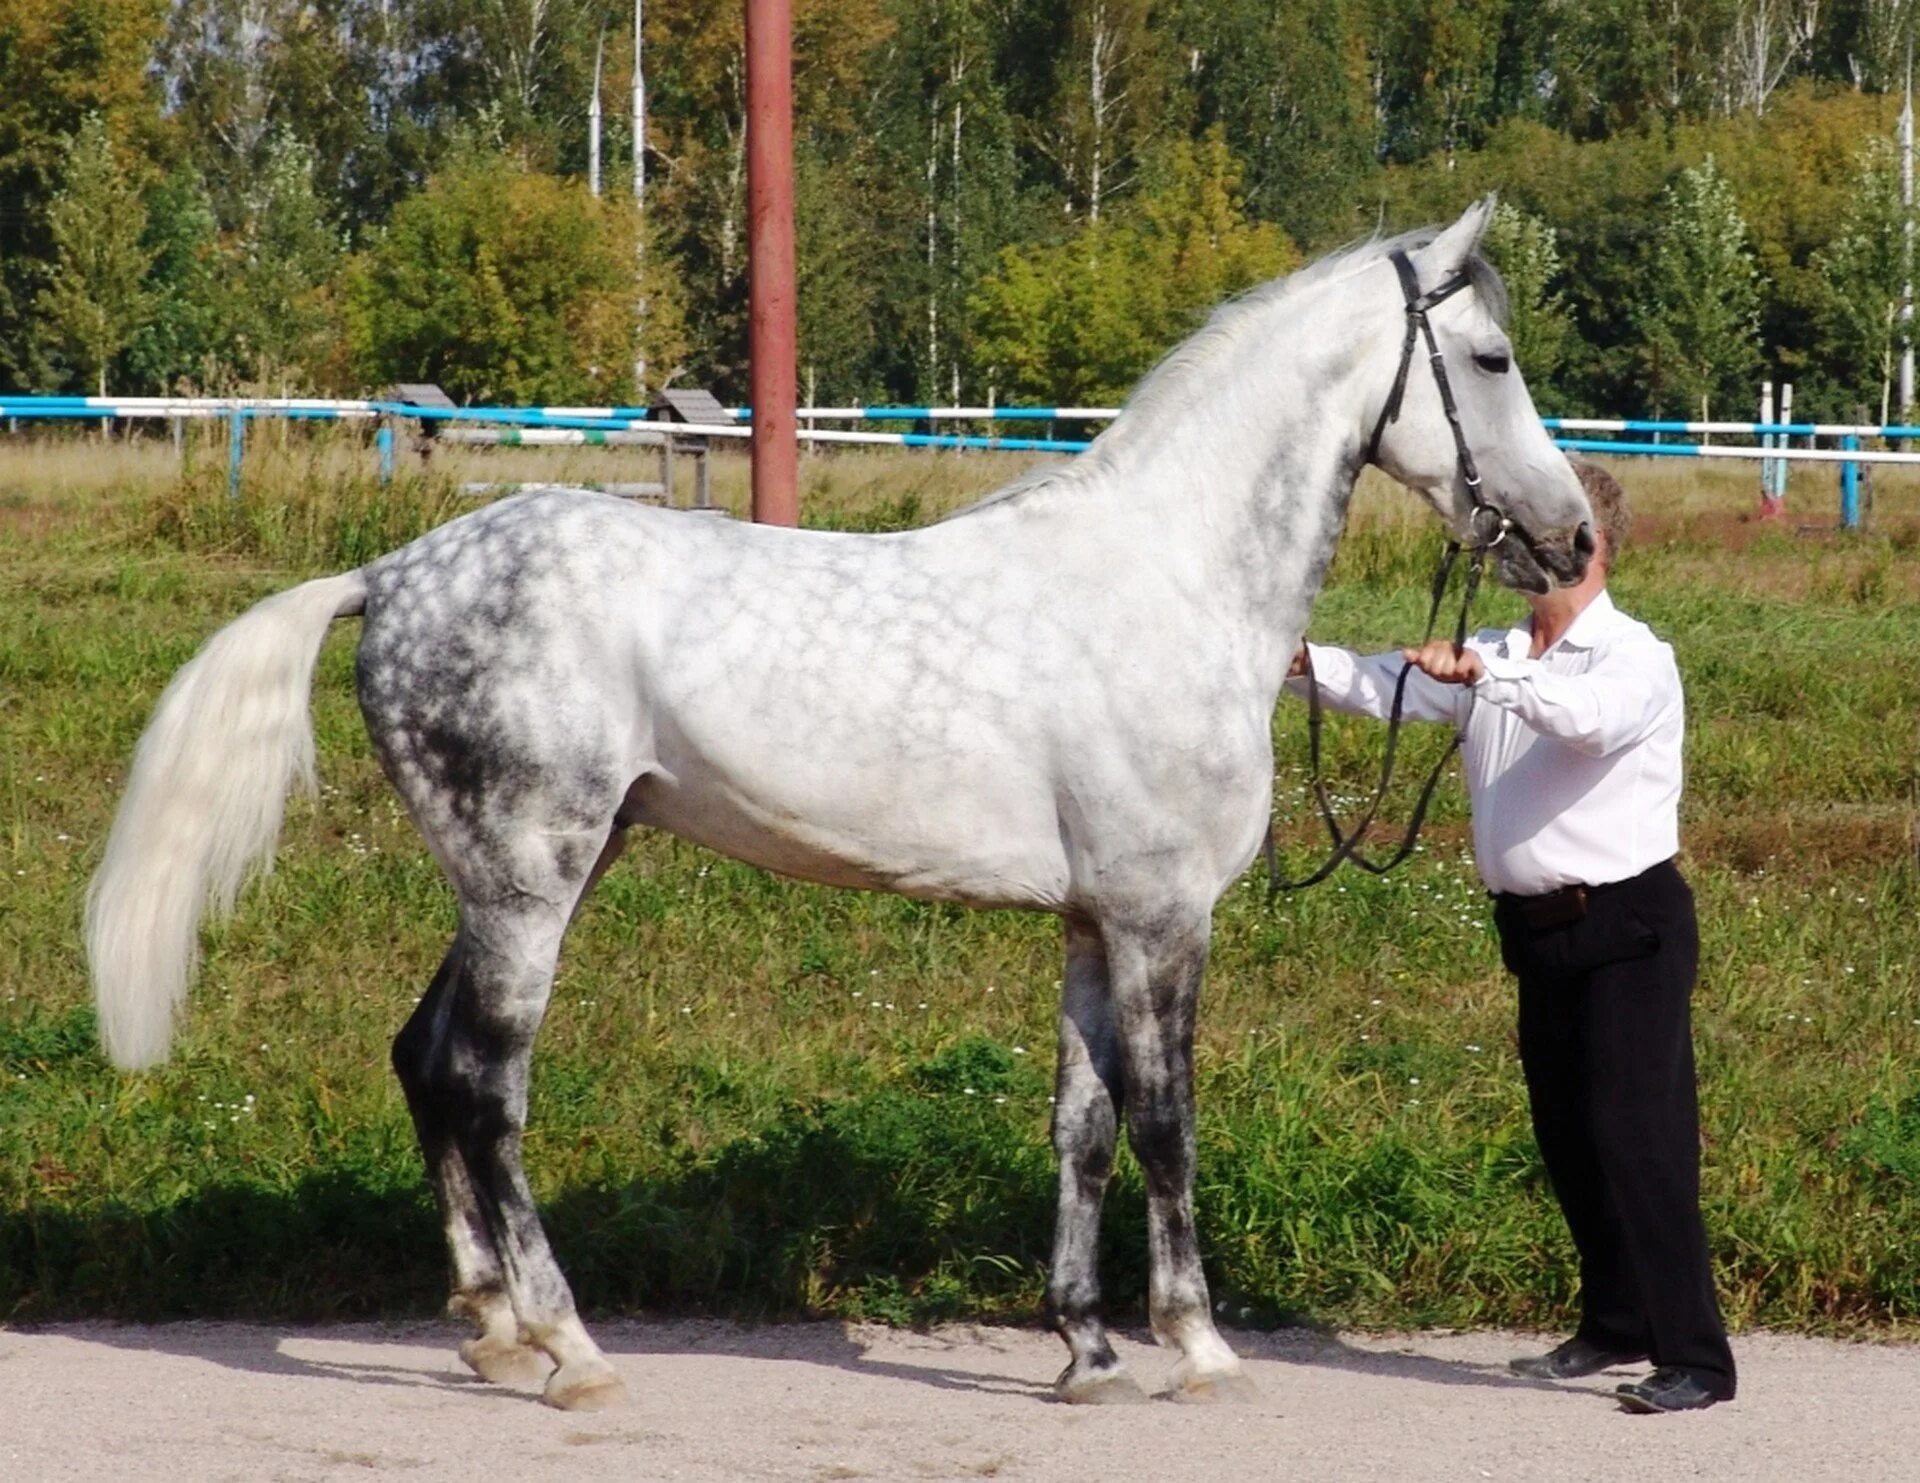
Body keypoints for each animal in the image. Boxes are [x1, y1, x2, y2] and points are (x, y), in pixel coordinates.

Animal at [86, 199, 1589, 1413]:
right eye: (1493, 360)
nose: (1575, 537)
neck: (1166, 580)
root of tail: (390, 574)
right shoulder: (1166, 919)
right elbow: (1167, 1122)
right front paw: (1201, 1346)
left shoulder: (1094, 921)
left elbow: (1084, 1125)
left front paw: (1087, 1350)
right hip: (529, 878)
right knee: (486, 1083)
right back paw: (569, 1348)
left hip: (524, 873)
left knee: (424, 1057)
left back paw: (492, 1327)